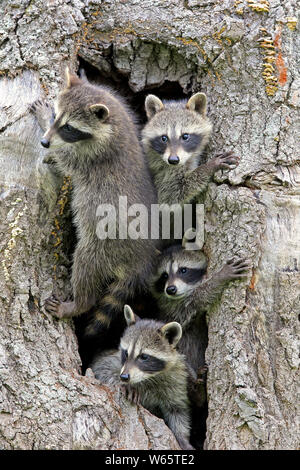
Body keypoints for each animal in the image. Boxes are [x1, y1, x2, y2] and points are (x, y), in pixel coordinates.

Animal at [31, 69, 159, 334]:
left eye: (69, 128)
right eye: (57, 116)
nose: (44, 142)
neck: (114, 124)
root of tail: (141, 259)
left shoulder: (91, 157)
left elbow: (65, 158)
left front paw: (42, 122)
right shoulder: (122, 107)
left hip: (105, 244)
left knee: (85, 266)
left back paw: (77, 304)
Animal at [91, 304, 193, 452]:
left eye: (144, 356)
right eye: (126, 353)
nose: (124, 377)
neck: (150, 376)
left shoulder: (176, 380)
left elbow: (178, 410)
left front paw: (183, 437)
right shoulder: (115, 361)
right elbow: (101, 367)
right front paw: (123, 384)